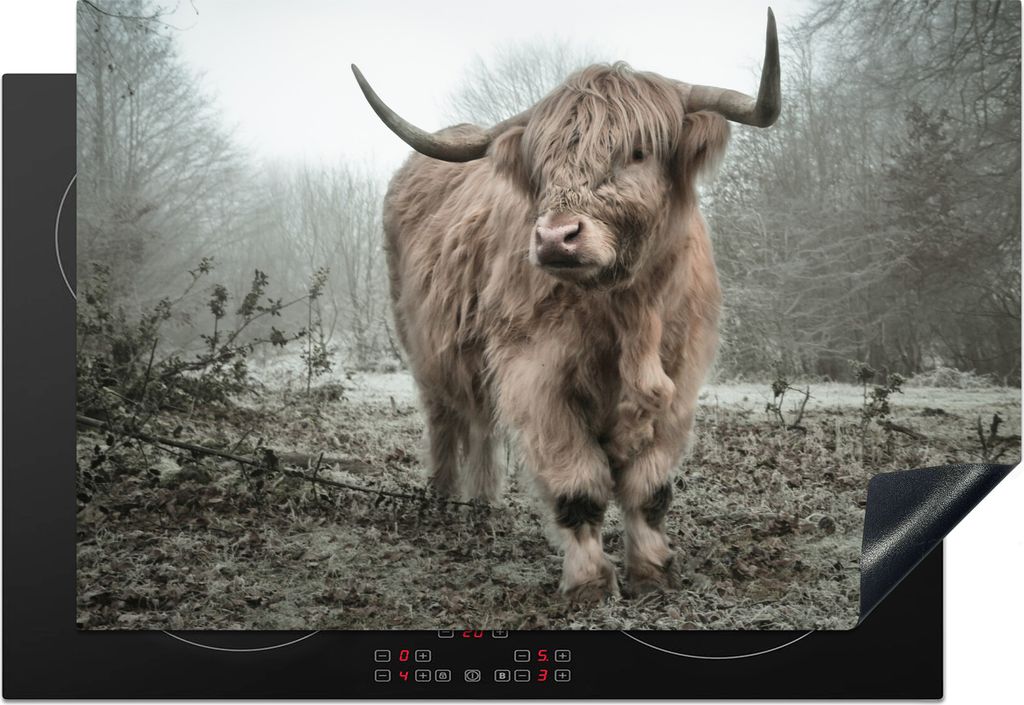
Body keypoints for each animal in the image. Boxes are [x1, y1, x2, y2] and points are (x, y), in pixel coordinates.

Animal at [352, 10, 780, 601]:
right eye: (544, 163)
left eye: (638, 152)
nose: (556, 238)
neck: (628, 311)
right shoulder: (536, 377)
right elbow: (579, 485)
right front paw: (590, 583)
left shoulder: (681, 379)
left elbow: (650, 488)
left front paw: (653, 571)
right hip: (423, 348)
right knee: (445, 420)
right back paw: (443, 501)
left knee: (481, 424)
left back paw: (482, 505)